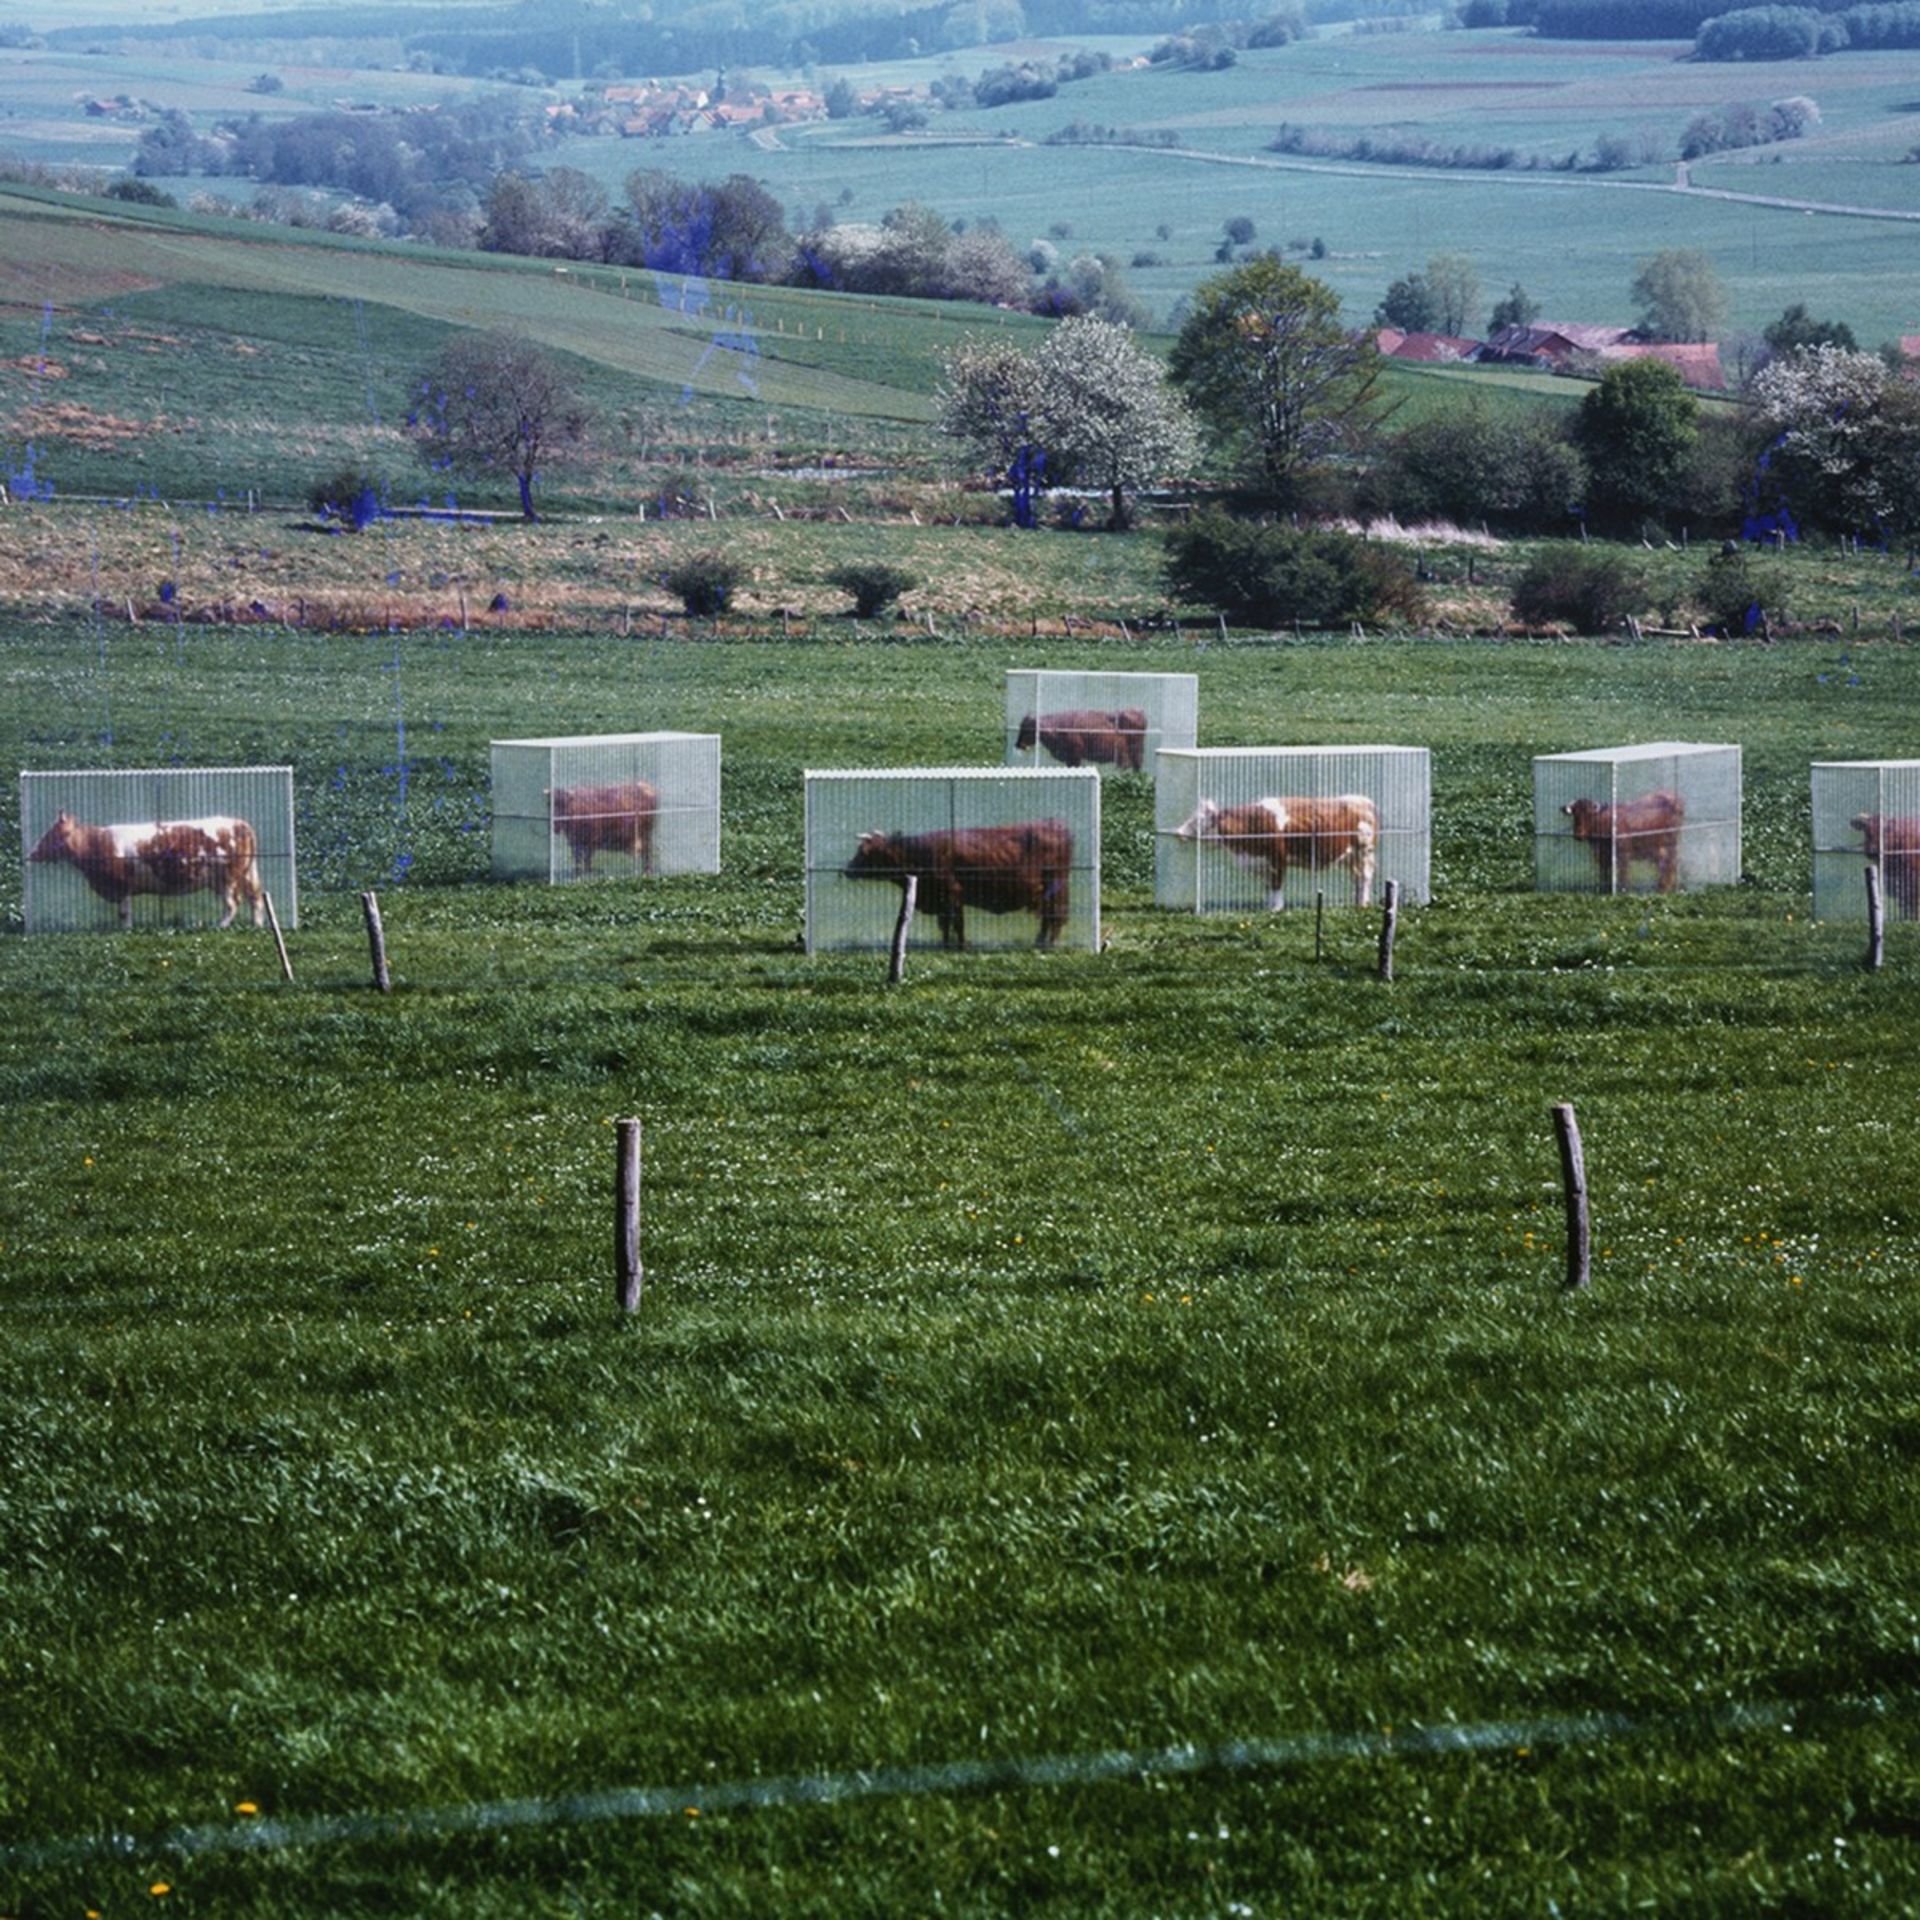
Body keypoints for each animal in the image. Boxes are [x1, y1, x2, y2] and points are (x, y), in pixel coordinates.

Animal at [26, 810, 264, 929]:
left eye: (50, 835)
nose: (32, 853)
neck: (96, 844)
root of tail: (239, 823)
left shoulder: (121, 885)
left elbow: (124, 912)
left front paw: (126, 929)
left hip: (228, 877)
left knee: (233, 903)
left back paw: (220, 925)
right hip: (244, 874)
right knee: (255, 897)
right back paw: (257, 924)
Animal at [844, 821, 1075, 948]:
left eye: (863, 853)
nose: (847, 870)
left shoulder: (952, 894)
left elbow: (956, 923)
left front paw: (961, 945)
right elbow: (947, 924)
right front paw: (947, 944)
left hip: (1055, 890)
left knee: (1055, 917)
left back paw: (1050, 944)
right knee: (1049, 919)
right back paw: (1040, 942)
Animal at [1167, 794, 1382, 913]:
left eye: (1198, 821)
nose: (1179, 832)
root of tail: (1362, 800)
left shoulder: (1277, 860)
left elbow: (1276, 886)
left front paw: (1276, 909)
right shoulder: (1263, 863)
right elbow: (1268, 886)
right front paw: (1268, 906)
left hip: (1365, 852)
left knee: (1365, 878)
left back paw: (1363, 903)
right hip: (1351, 857)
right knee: (1357, 878)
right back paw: (1358, 901)